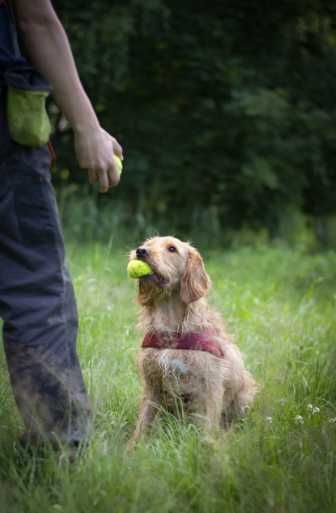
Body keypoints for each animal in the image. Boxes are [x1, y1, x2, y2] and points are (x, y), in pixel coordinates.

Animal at [129, 235, 258, 440]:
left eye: (172, 249)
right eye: (147, 243)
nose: (140, 251)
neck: (172, 329)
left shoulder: (210, 385)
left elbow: (208, 427)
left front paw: (208, 445)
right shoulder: (152, 384)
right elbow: (143, 423)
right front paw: (134, 446)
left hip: (244, 396)